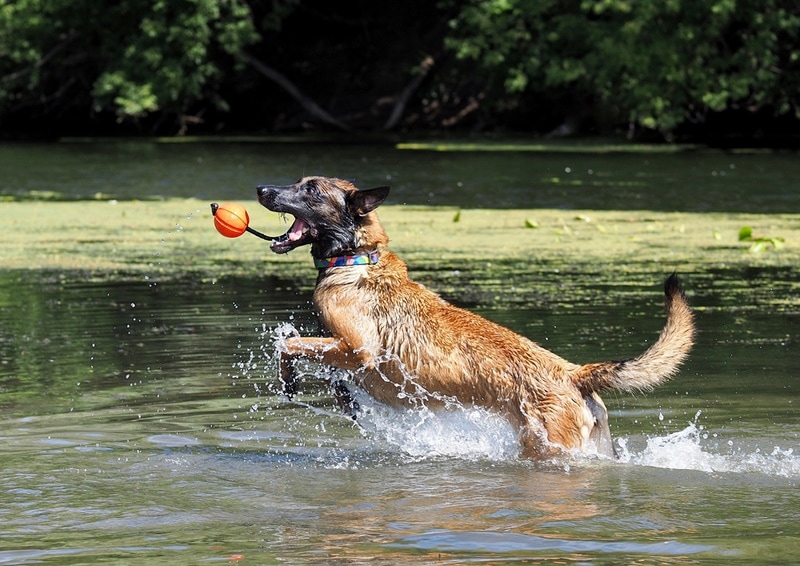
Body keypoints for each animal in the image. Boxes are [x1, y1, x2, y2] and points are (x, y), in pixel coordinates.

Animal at [256, 178, 692, 462]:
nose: (262, 190)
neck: (356, 259)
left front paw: (289, 381)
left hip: (547, 445)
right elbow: (312, 356)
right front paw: (340, 398)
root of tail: (574, 373)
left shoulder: (359, 350)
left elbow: (289, 344)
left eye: (311, 189)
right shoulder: (340, 350)